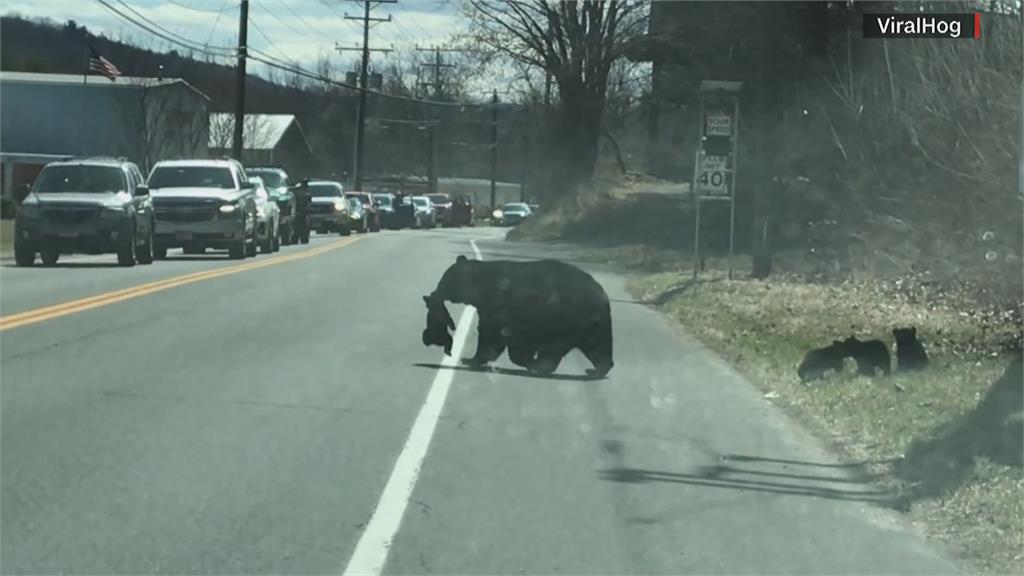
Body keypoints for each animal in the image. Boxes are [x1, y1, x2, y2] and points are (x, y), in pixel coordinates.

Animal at [423, 255, 614, 377]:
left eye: (445, 279)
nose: (434, 293)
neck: (482, 287)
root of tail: (603, 294)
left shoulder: (501, 306)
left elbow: (492, 334)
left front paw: (469, 359)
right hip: (590, 324)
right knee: (597, 346)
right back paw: (596, 369)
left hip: (568, 319)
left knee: (561, 347)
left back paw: (544, 366)